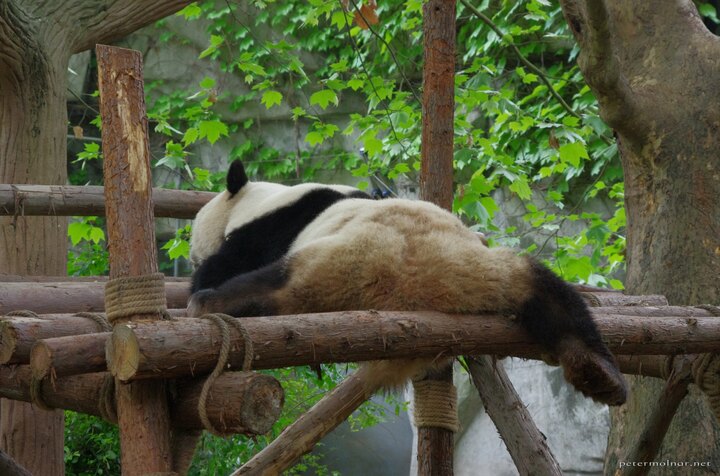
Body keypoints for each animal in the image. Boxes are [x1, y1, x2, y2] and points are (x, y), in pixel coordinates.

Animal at [188, 160, 628, 405]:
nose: (191, 255)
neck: (259, 198)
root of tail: (408, 283)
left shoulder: (270, 229)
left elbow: (229, 262)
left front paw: (201, 279)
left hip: (330, 260)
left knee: (270, 285)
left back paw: (212, 303)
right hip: (482, 268)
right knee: (550, 293)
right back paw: (599, 373)